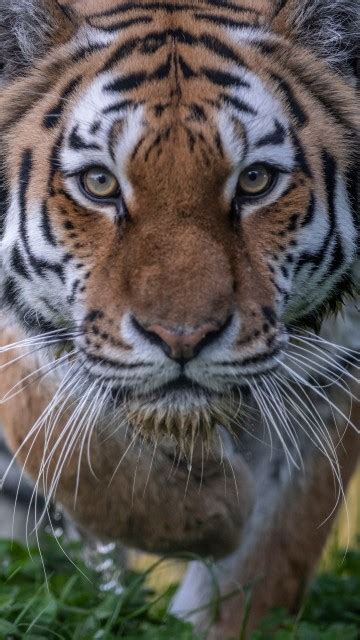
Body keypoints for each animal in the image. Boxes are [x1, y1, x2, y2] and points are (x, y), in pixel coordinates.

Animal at [0, 0, 358, 636]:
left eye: (255, 180)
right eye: (99, 183)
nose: (183, 338)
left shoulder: (331, 369)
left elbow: (267, 561)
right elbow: (68, 444)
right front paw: (219, 504)